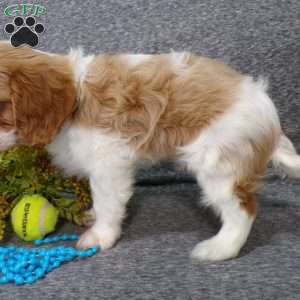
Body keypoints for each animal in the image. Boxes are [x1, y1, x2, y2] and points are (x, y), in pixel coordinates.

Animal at [0, 41, 300, 262]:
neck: (76, 97)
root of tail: (272, 123)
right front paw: (92, 216)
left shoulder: (108, 164)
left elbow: (107, 203)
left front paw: (101, 236)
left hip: (219, 165)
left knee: (243, 210)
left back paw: (219, 249)